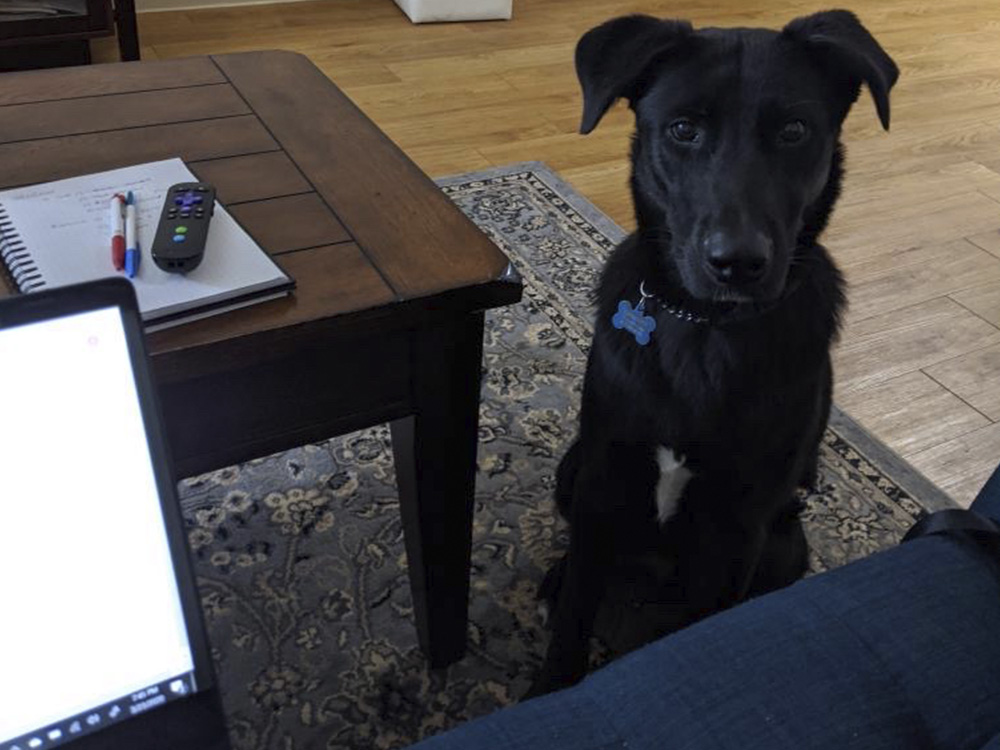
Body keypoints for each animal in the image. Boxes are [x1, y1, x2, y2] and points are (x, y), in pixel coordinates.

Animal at [532, 8, 900, 700]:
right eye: (683, 129)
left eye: (793, 131)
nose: (738, 263)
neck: (704, 326)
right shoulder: (602, 480)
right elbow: (571, 625)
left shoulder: (738, 529)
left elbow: (695, 630)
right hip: (573, 470)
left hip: (788, 542)